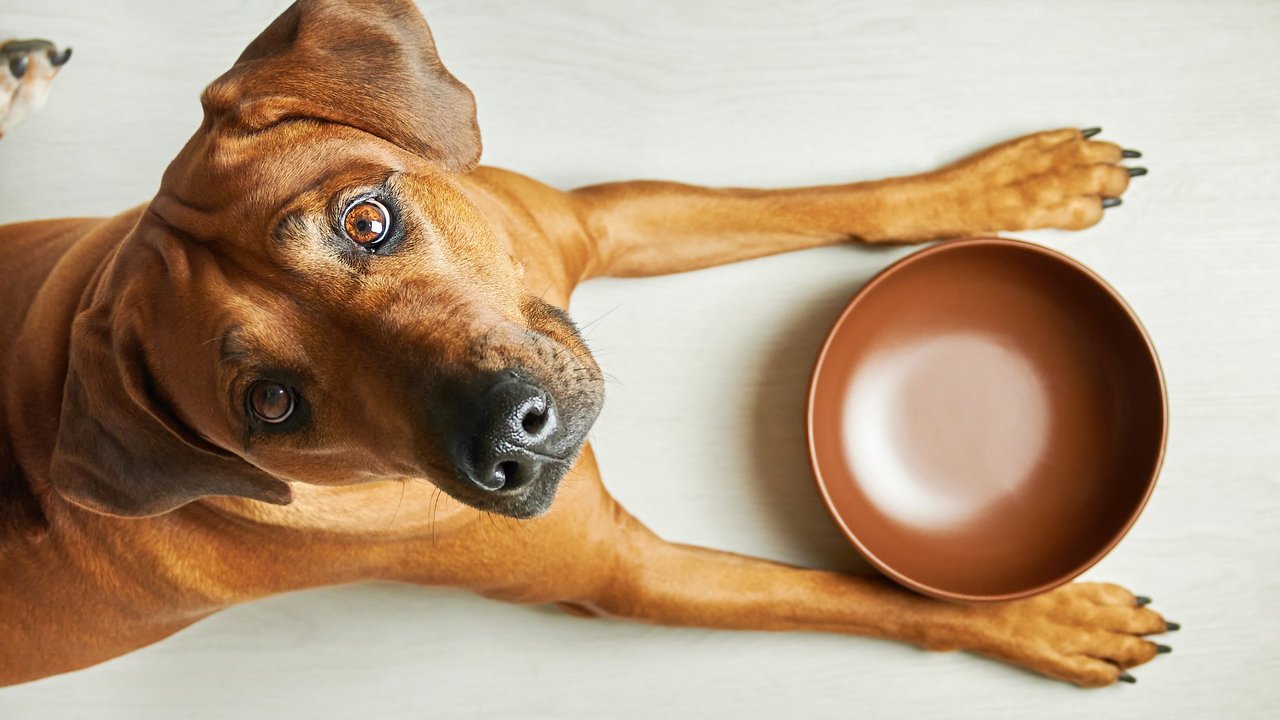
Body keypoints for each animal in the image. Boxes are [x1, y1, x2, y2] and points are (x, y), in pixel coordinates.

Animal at [0, 0, 1172, 686]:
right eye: (272, 405)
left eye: (365, 221)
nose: (507, 440)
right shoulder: (632, 574)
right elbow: (868, 600)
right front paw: (1047, 622)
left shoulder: (590, 222)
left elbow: (832, 201)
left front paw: (1014, 182)